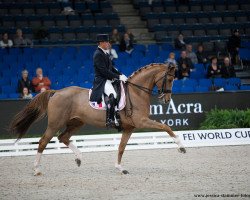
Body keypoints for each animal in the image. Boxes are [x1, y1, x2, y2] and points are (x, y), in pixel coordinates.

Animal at [9, 63, 186, 175]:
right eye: (170, 79)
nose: (166, 100)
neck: (136, 92)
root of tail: (57, 92)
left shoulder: (130, 127)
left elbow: (121, 147)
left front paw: (120, 168)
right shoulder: (141, 121)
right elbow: (166, 127)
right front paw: (181, 147)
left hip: (77, 122)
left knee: (63, 137)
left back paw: (79, 158)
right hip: (55, 124)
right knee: (43, 142)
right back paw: (37, 169)